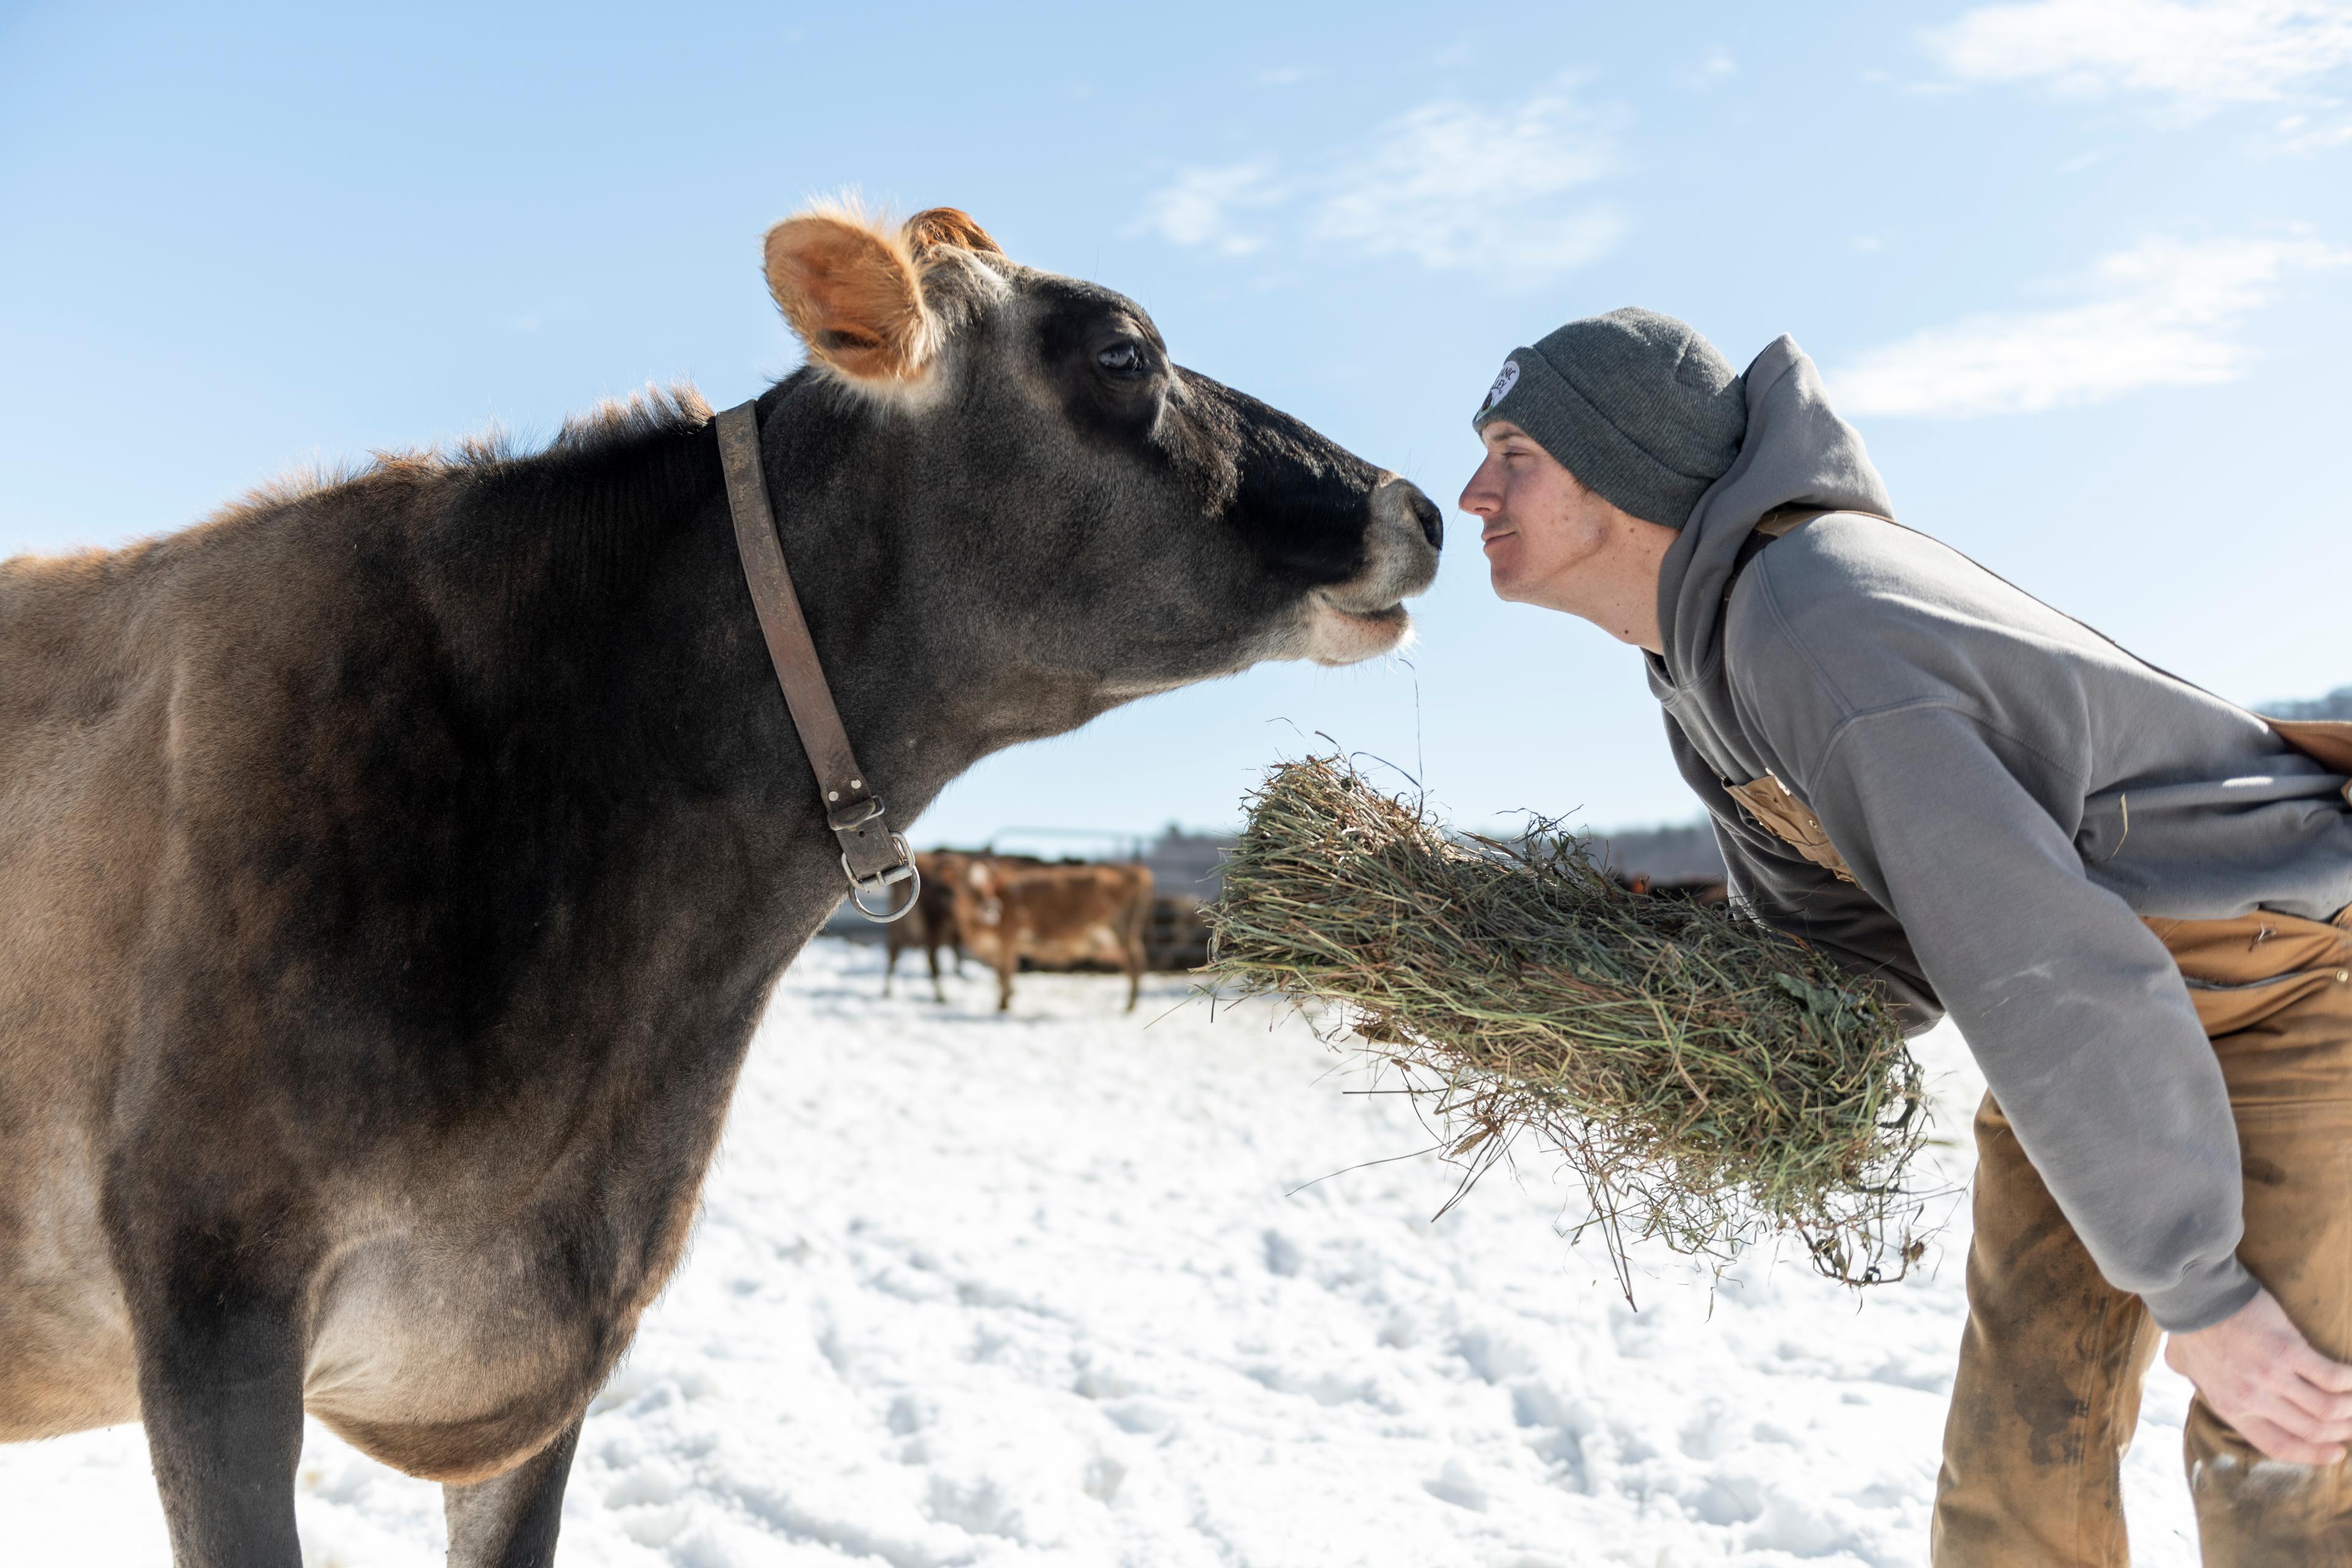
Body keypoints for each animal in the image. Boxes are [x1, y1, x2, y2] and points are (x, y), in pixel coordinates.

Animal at [951, 858, 1156, 1012]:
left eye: (987, 883)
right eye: (964, 884)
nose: (990, 906)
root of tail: (1137, 870)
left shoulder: (1009, 940)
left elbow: (1005, 973)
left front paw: (1004, 1005)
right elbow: (1000, 974)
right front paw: (1003, 1002)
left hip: (1122, 929)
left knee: (1136, 962)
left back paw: (1130, 1005)